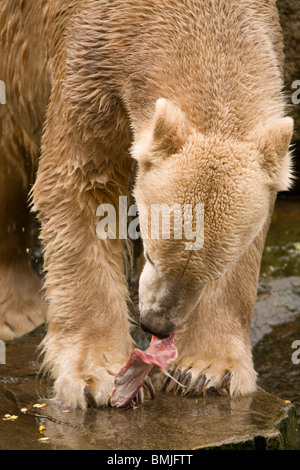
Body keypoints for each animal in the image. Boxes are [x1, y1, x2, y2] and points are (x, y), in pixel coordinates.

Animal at [0, 0, 294, 408]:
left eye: (214, 273)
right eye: (152, 254)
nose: (157, 323)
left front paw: (206, 370)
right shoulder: (92, 67)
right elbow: (79, 189)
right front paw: (101, 374)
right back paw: (17, 311)